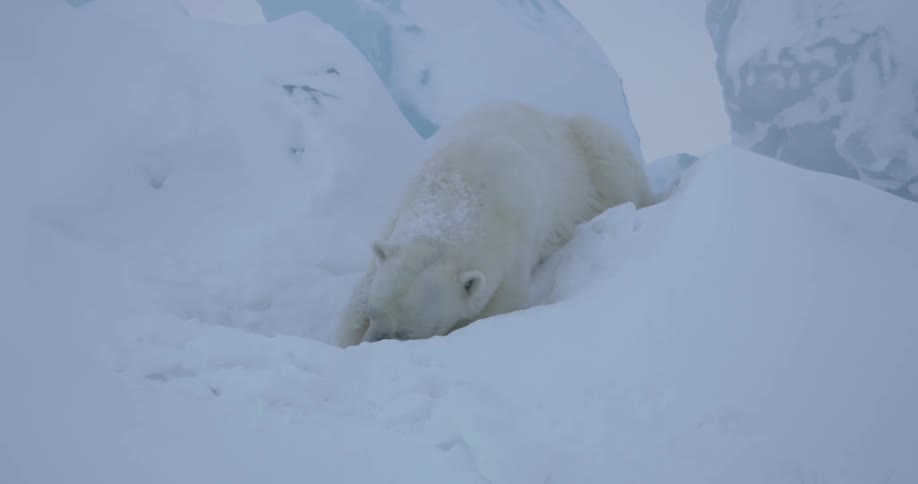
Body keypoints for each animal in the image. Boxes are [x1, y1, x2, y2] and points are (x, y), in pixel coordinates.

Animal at [336, 100, 661, 347]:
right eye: (375, 312)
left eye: (406, 333)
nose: (372, 343)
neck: (459, 187)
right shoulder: (401, 214)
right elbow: (359, 293)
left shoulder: (516, 239)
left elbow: (500, 305)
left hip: (594, 157)